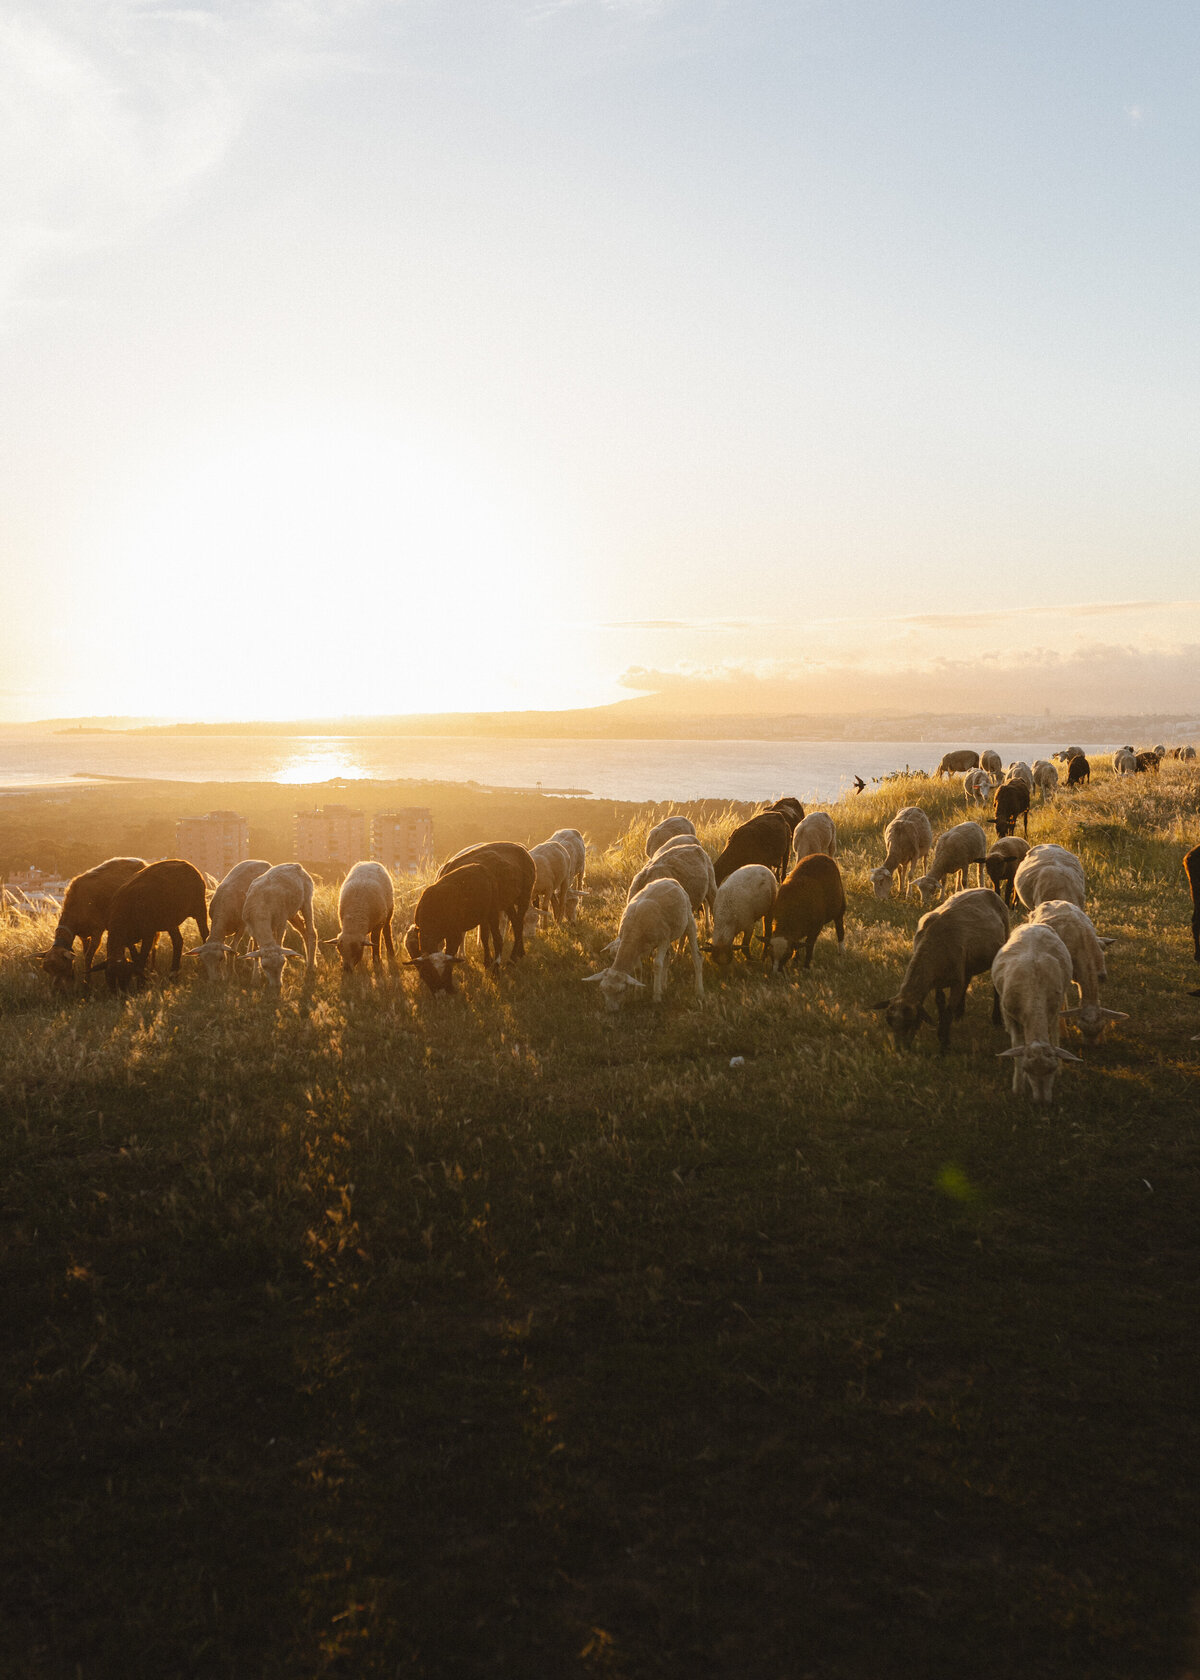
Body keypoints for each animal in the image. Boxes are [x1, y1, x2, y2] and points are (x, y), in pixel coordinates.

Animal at [39, 853, 145, 981]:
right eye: (47, 970)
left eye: (62, 967)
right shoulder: (83, 935)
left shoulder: (97, 931)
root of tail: (142, 862)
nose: (56, 985)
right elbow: (85, 953)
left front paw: (87, 981)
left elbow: (89, 956)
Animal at [867, 880, 1008, 1048]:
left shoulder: (955, 982)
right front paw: (942, 1027)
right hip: (967, 962)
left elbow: (948, 1011)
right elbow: (940, 1003)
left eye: (911, 1021)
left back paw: (996, 1018)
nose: (900, 1049)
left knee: (994, 987)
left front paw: (944, 1042)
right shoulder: (938, 981)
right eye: (889, 1021)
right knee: (967, 979)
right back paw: (960, 1013)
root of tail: (987, 889)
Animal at [988, 920, 1082, 1102]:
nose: (1042, 1102)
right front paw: (1018, 1087)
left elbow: (1054, 1036)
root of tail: (1034, 925)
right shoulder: (1011, 1017)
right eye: (1027, 1069)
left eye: (1052, 1069)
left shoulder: (1052, 1011)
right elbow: (1017, 1047)